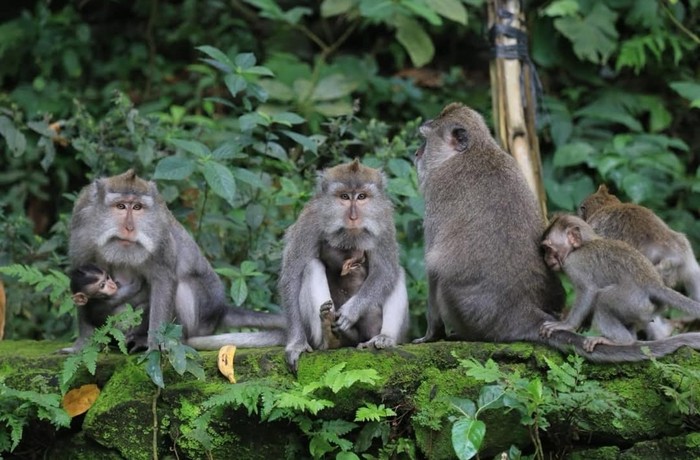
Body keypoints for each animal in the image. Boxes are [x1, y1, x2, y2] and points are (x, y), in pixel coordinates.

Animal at [67, 169, 286, 353]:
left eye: (137, 207)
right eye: (120, 206)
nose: (130, 228)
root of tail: (220, 310)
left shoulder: (161, 234)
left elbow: (164, 280)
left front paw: (153, 345)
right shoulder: (81, 224)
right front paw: (81, 345)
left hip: (201, 319)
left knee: (181, 287)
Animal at [279, 159, 409, 373]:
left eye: (362, 196)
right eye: (345, 197)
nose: (353, 217)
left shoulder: (384, 222)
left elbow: (386, 270)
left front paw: (351, 312)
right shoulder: (310, 221)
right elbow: (292, 276)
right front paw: (296, 343)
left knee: (397, 273)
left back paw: (384, 338)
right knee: (312, 266)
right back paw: (329, 337)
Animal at [540, 215, 700, 351]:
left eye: (548, 248)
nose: (546, 258)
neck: (584, 244)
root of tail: (654, 284)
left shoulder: (573, 264)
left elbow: (588, 290)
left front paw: (566, 325)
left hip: (632, 300)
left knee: (603, 299)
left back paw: (622, 341)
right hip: (644, 309)